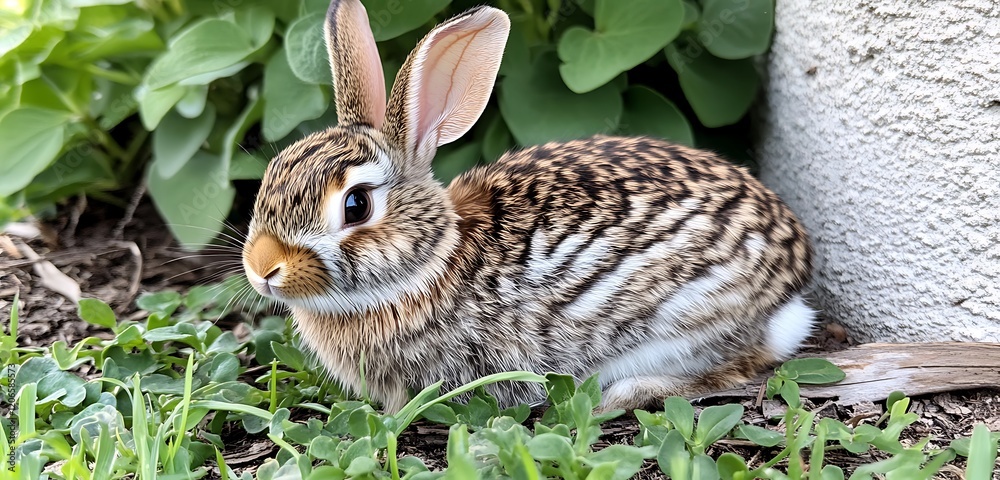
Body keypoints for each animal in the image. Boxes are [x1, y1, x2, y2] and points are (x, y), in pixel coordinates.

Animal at [241, 0, 816, 414]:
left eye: (357, 205)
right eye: (272, 175)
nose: (262, 268)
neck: (432, 265)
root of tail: (793, 280)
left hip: (688, 315)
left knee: (740, 363)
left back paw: (627, 393)